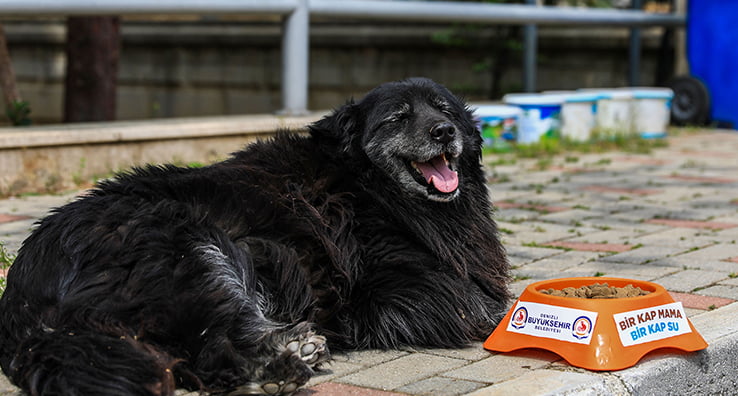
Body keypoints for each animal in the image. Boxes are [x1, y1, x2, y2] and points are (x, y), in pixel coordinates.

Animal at [0, 78, 506, 396]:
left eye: (445, 110)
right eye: (398, 118)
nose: (444, 131)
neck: (367, 184)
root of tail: (23, 291)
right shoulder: (392, 289)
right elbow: (479, 305)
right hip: (196, 252)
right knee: (212, 350)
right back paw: (279, 367)